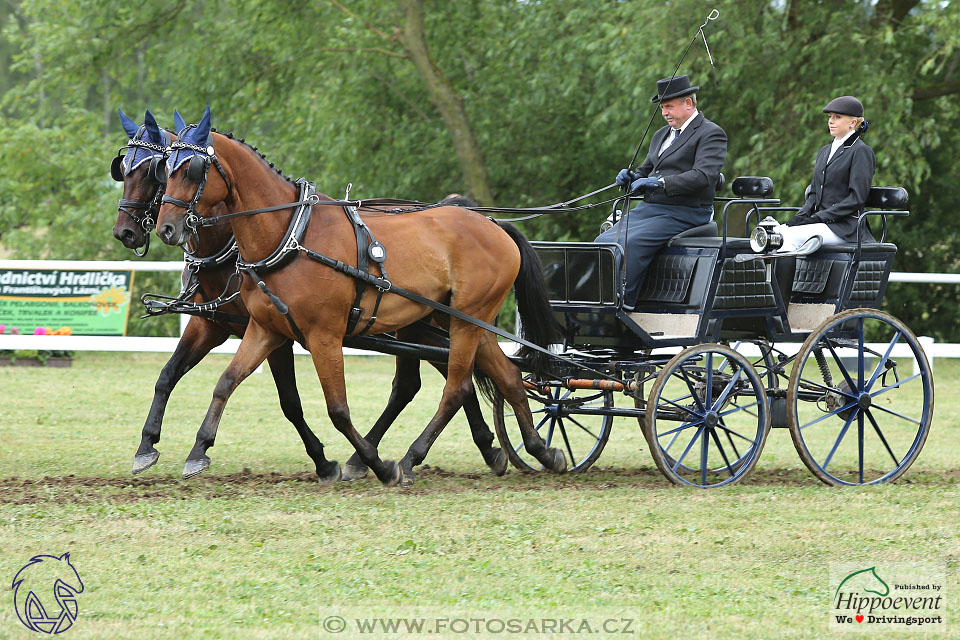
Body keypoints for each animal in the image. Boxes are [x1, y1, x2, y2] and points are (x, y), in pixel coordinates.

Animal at [154, 107, 568, 484]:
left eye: (191, 170)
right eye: (165, 168)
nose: (165, 229)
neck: (291, 235)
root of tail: (493, 223)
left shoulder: (324, 336)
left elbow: (337, 409)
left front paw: (377, 465)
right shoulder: (266, 329)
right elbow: (226, 382)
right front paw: (198, 450)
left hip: (464, 322)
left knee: (457, 387)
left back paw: (411, 458)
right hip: (465, 321)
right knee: (508, 377)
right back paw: (541, 451)